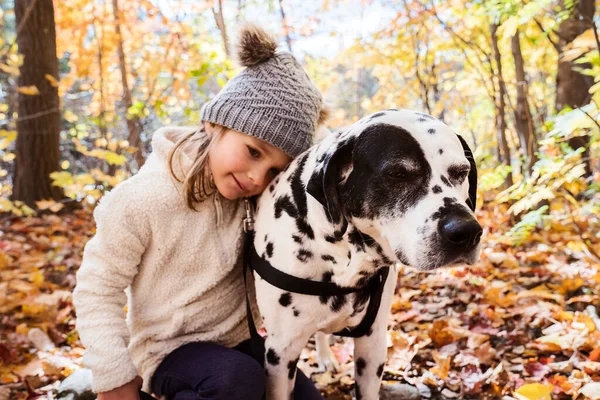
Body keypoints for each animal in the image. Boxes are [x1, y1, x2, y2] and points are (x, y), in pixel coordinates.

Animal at [252, 109, 482, 400]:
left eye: (461, 172)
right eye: (397, 173)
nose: (467, 231)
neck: (344, 259)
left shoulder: (372, 345)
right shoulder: (280, 355)